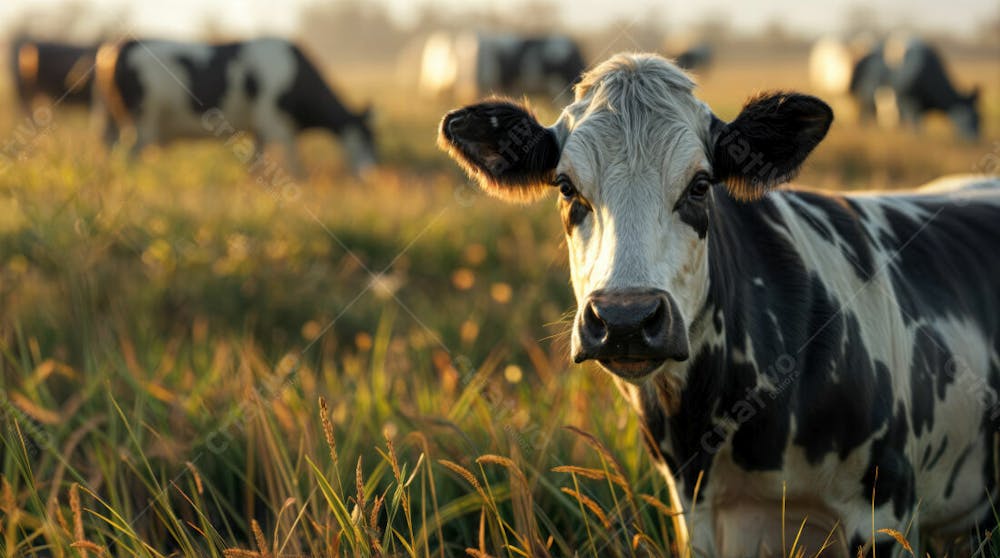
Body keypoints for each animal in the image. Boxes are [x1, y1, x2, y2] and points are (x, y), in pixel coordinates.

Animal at [95, 36, 376, 175]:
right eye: (366, 137)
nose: (371, 174)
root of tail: (118, 46)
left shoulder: (260, 129)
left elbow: (259, 161)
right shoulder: (275, 123)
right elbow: (296, 165)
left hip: (116, 121)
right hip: (140, 121)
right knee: (128, 153)